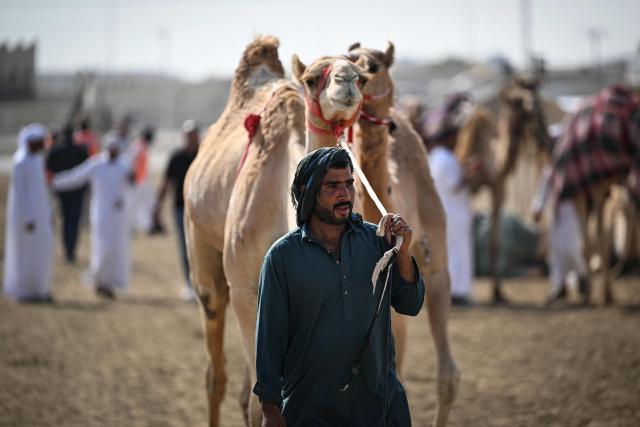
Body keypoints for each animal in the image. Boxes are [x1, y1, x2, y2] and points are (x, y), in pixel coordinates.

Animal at [183, 36, 368, 427]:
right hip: (200, 243)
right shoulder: (244, 286)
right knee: (215, 367)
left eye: (362, 78)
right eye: (311, 79)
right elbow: (259, 403)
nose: (345, 82)